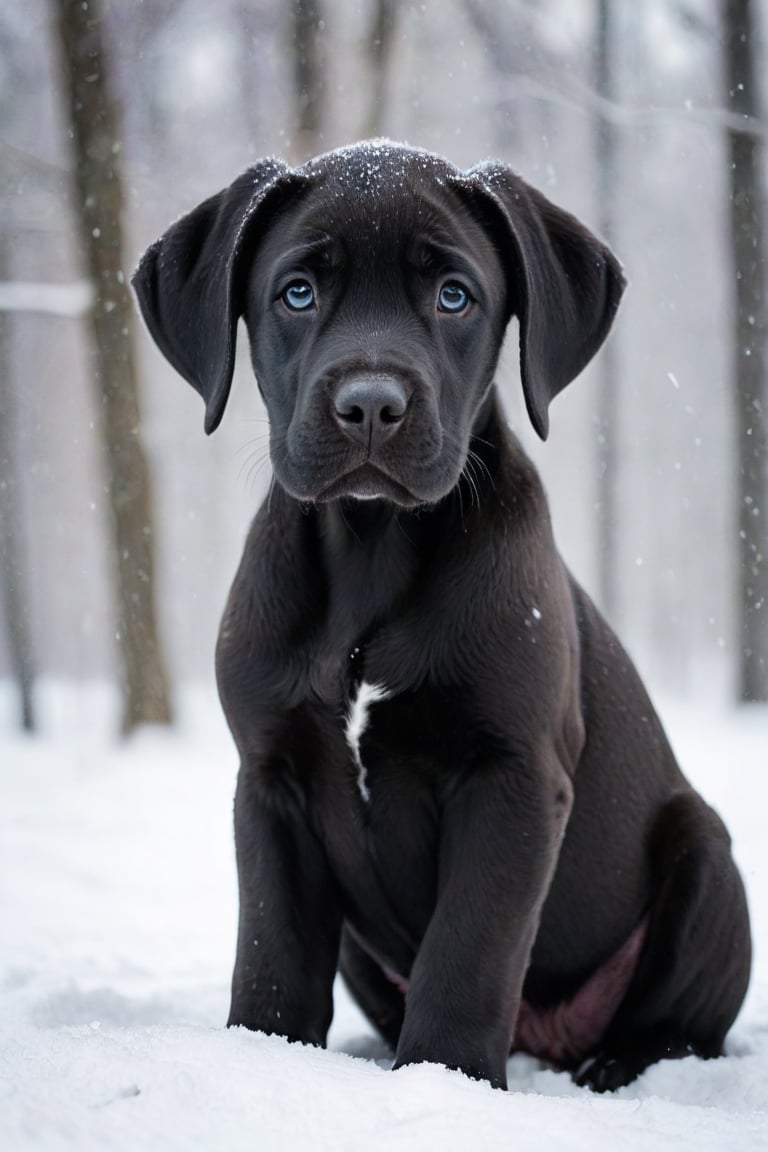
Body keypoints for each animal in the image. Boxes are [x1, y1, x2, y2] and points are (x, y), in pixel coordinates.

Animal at [133, 141, 750, 1087]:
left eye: (455, 295)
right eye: (297, 292)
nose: (370, 406)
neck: (371, 551)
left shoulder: (512, 774)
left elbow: (470, 950)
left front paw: (446, 1078)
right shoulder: (270, 778)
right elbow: (274, 953)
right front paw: (266, 1057)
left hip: (707, 855)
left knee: (678, 1021)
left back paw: (620, 1064)